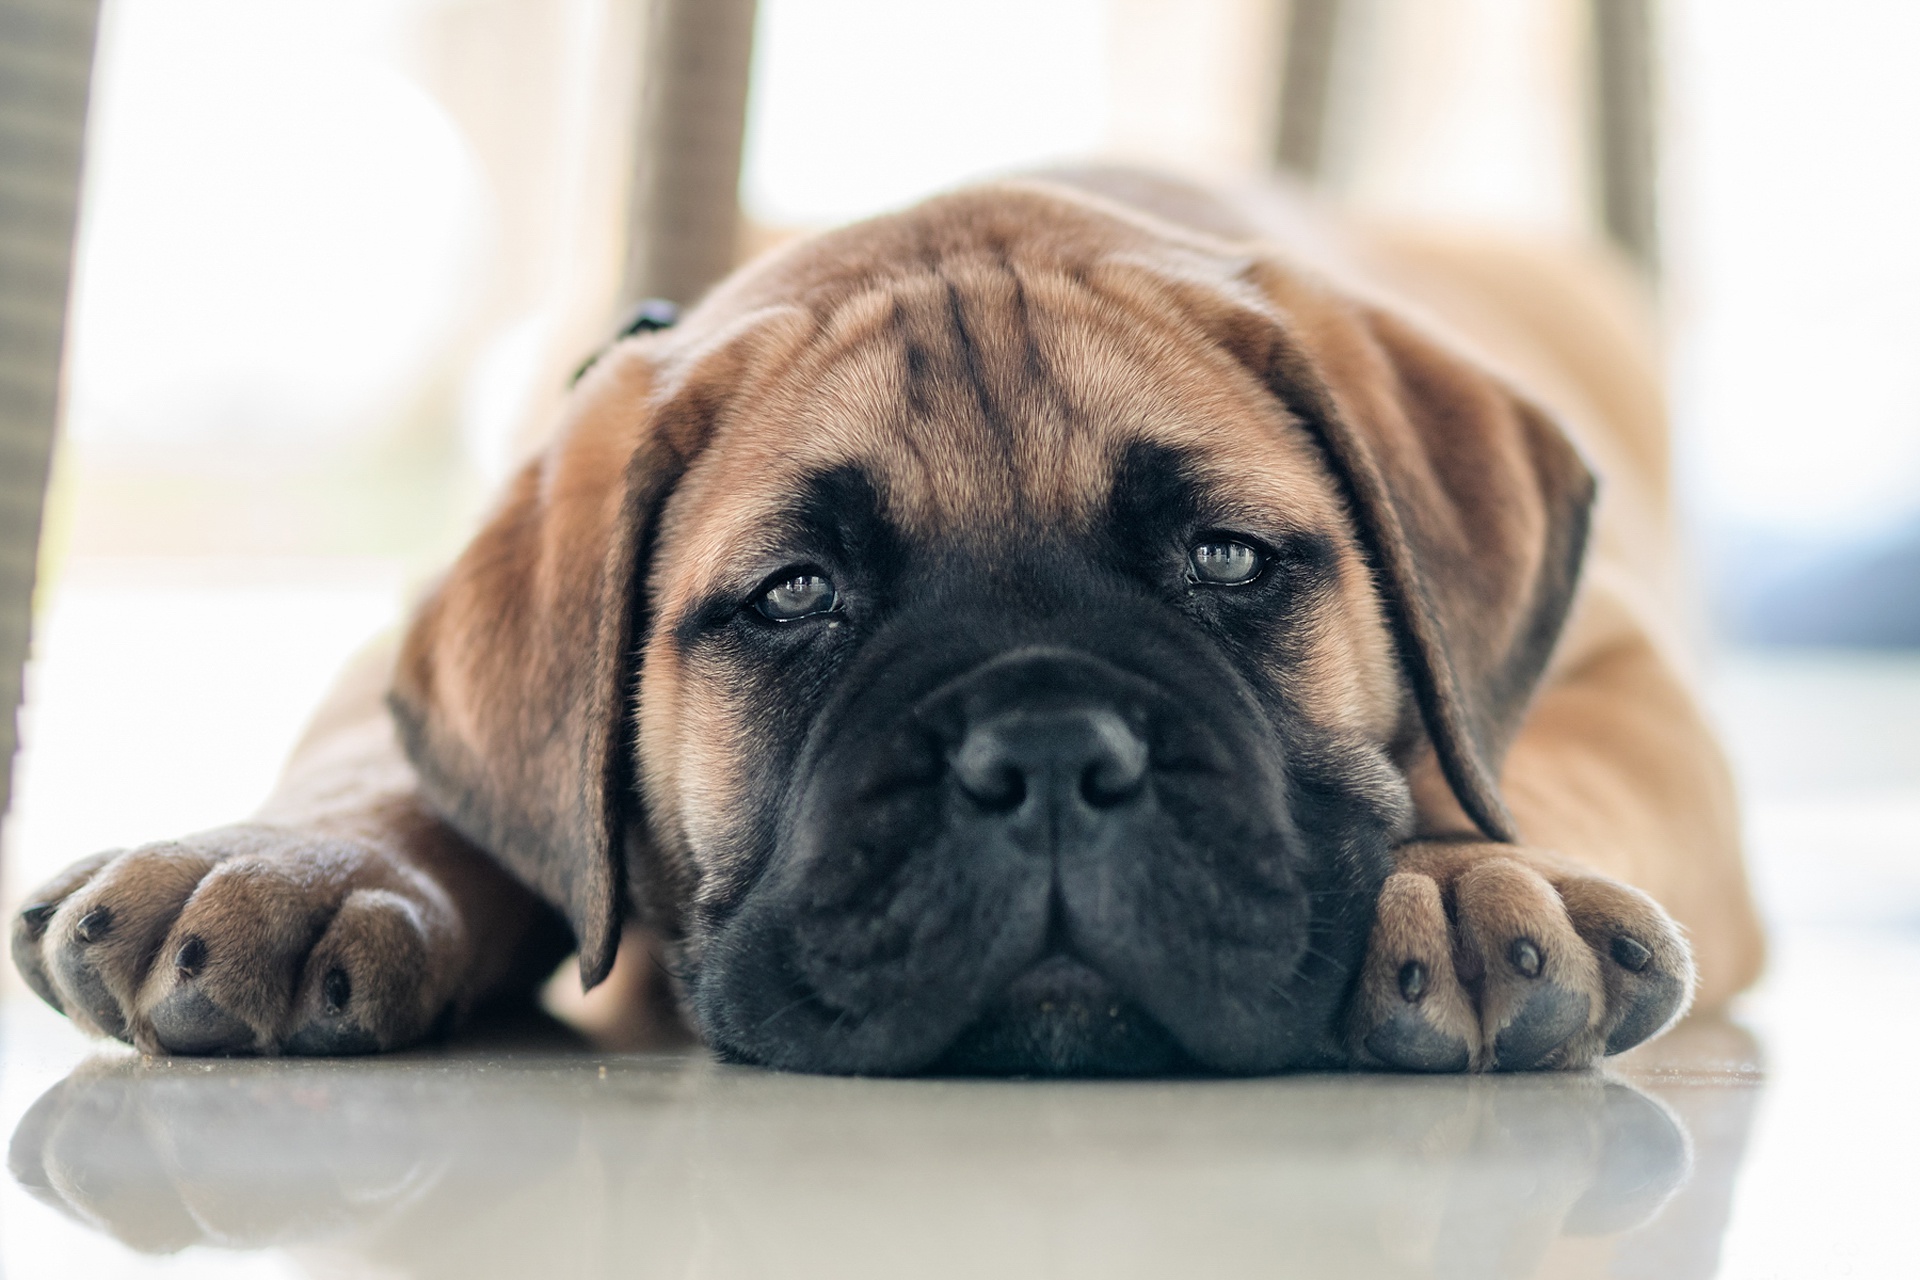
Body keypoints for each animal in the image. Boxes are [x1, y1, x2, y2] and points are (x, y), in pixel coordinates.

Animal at [7, 167, 1758, 1074]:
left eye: (1227, 559)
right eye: (796, 597)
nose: (1046, 757)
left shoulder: (1625, 671)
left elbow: (1525, 766)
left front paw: (1460, 873)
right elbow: (385, 767)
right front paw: (292, 866)